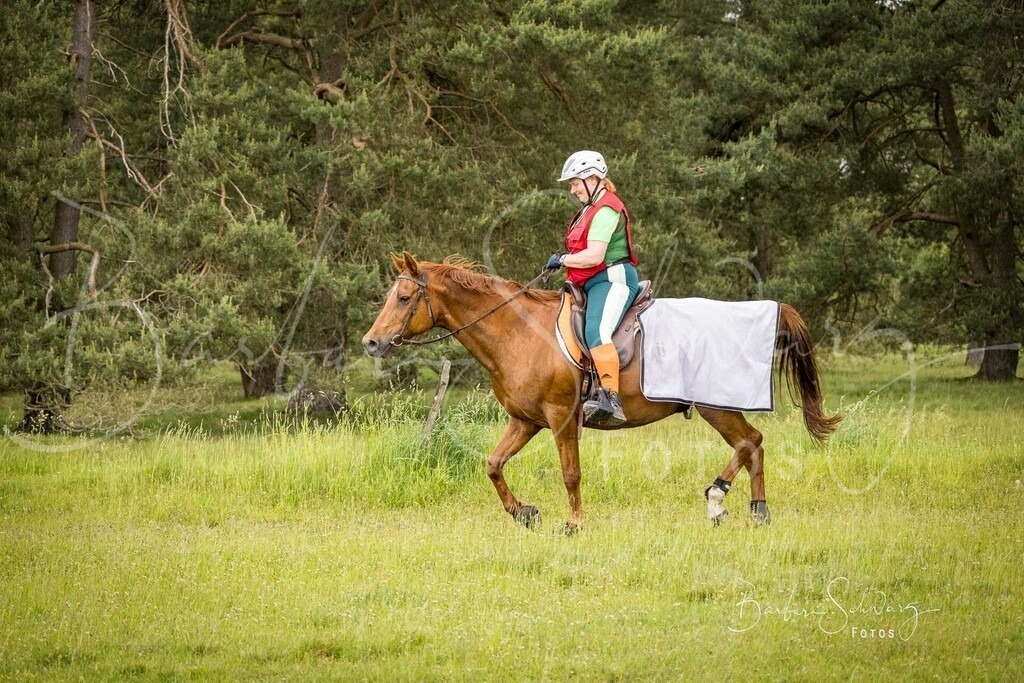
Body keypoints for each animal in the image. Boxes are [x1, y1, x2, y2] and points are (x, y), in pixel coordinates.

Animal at [362, 252, 841, 533]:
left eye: (403, 298)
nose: (371, 342)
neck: (518, 332)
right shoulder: (525, 420)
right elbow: (494, 466)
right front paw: (525, 513)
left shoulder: (560, 419)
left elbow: (570, 473)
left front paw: (573, 523)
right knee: (753, 444)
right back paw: (756, 512)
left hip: (714, 406)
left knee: (749, 441)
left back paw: (718, 500)